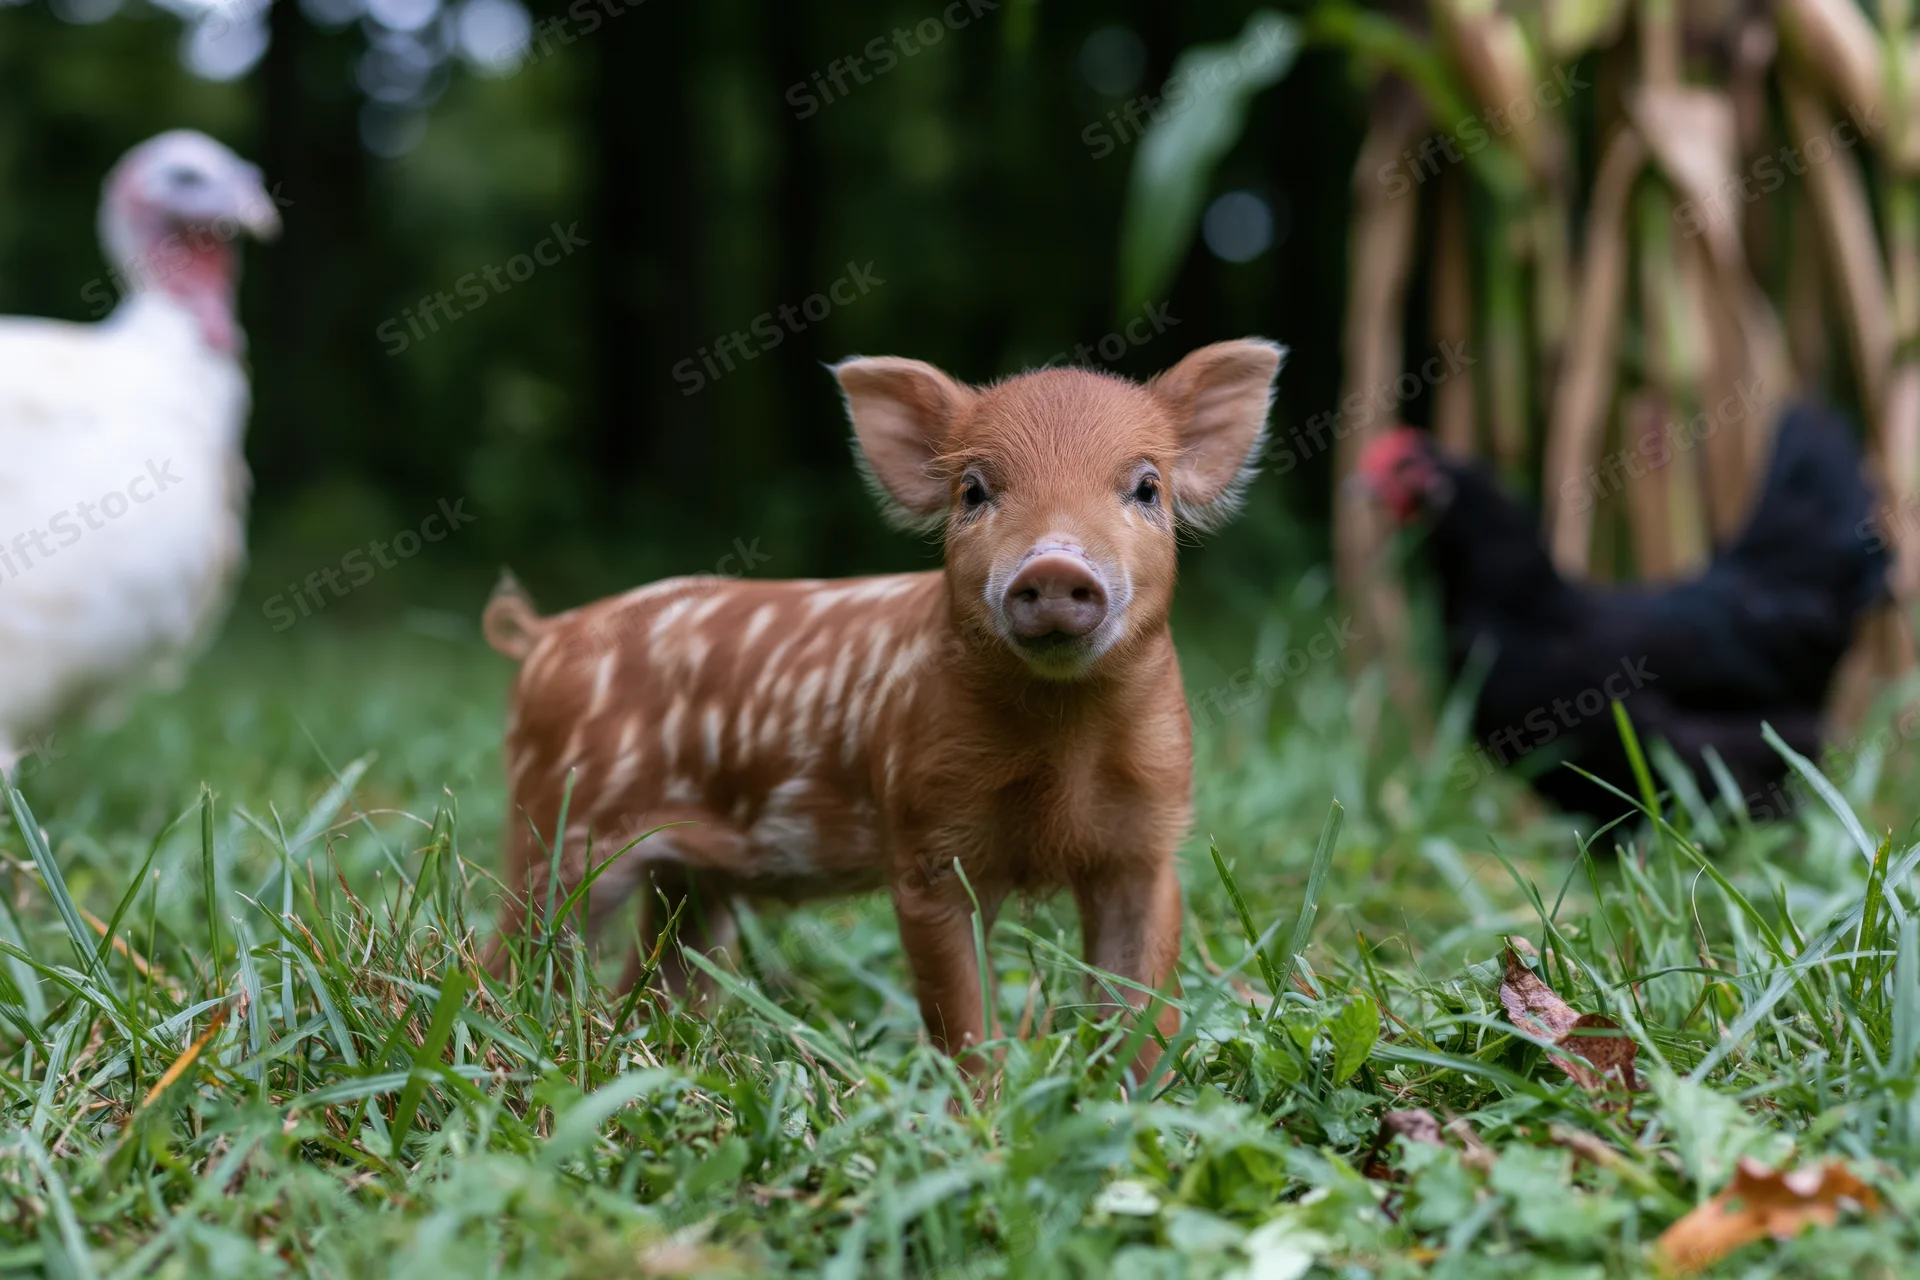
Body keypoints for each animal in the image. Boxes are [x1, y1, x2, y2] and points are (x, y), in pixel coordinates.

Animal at [483, 338, 1284, 1078]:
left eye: (1147, 487)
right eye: (973, 490)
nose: (1056, 564)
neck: (1062, 745)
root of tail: (545, 636)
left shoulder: (1149, 841)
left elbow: (1141, 1007)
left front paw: (1143, 1101)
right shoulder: (926, 839)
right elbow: (963, 1016)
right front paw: (983, 1112)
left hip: (687, 879)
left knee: (657, 977)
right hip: (558, 826)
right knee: (506, 955)